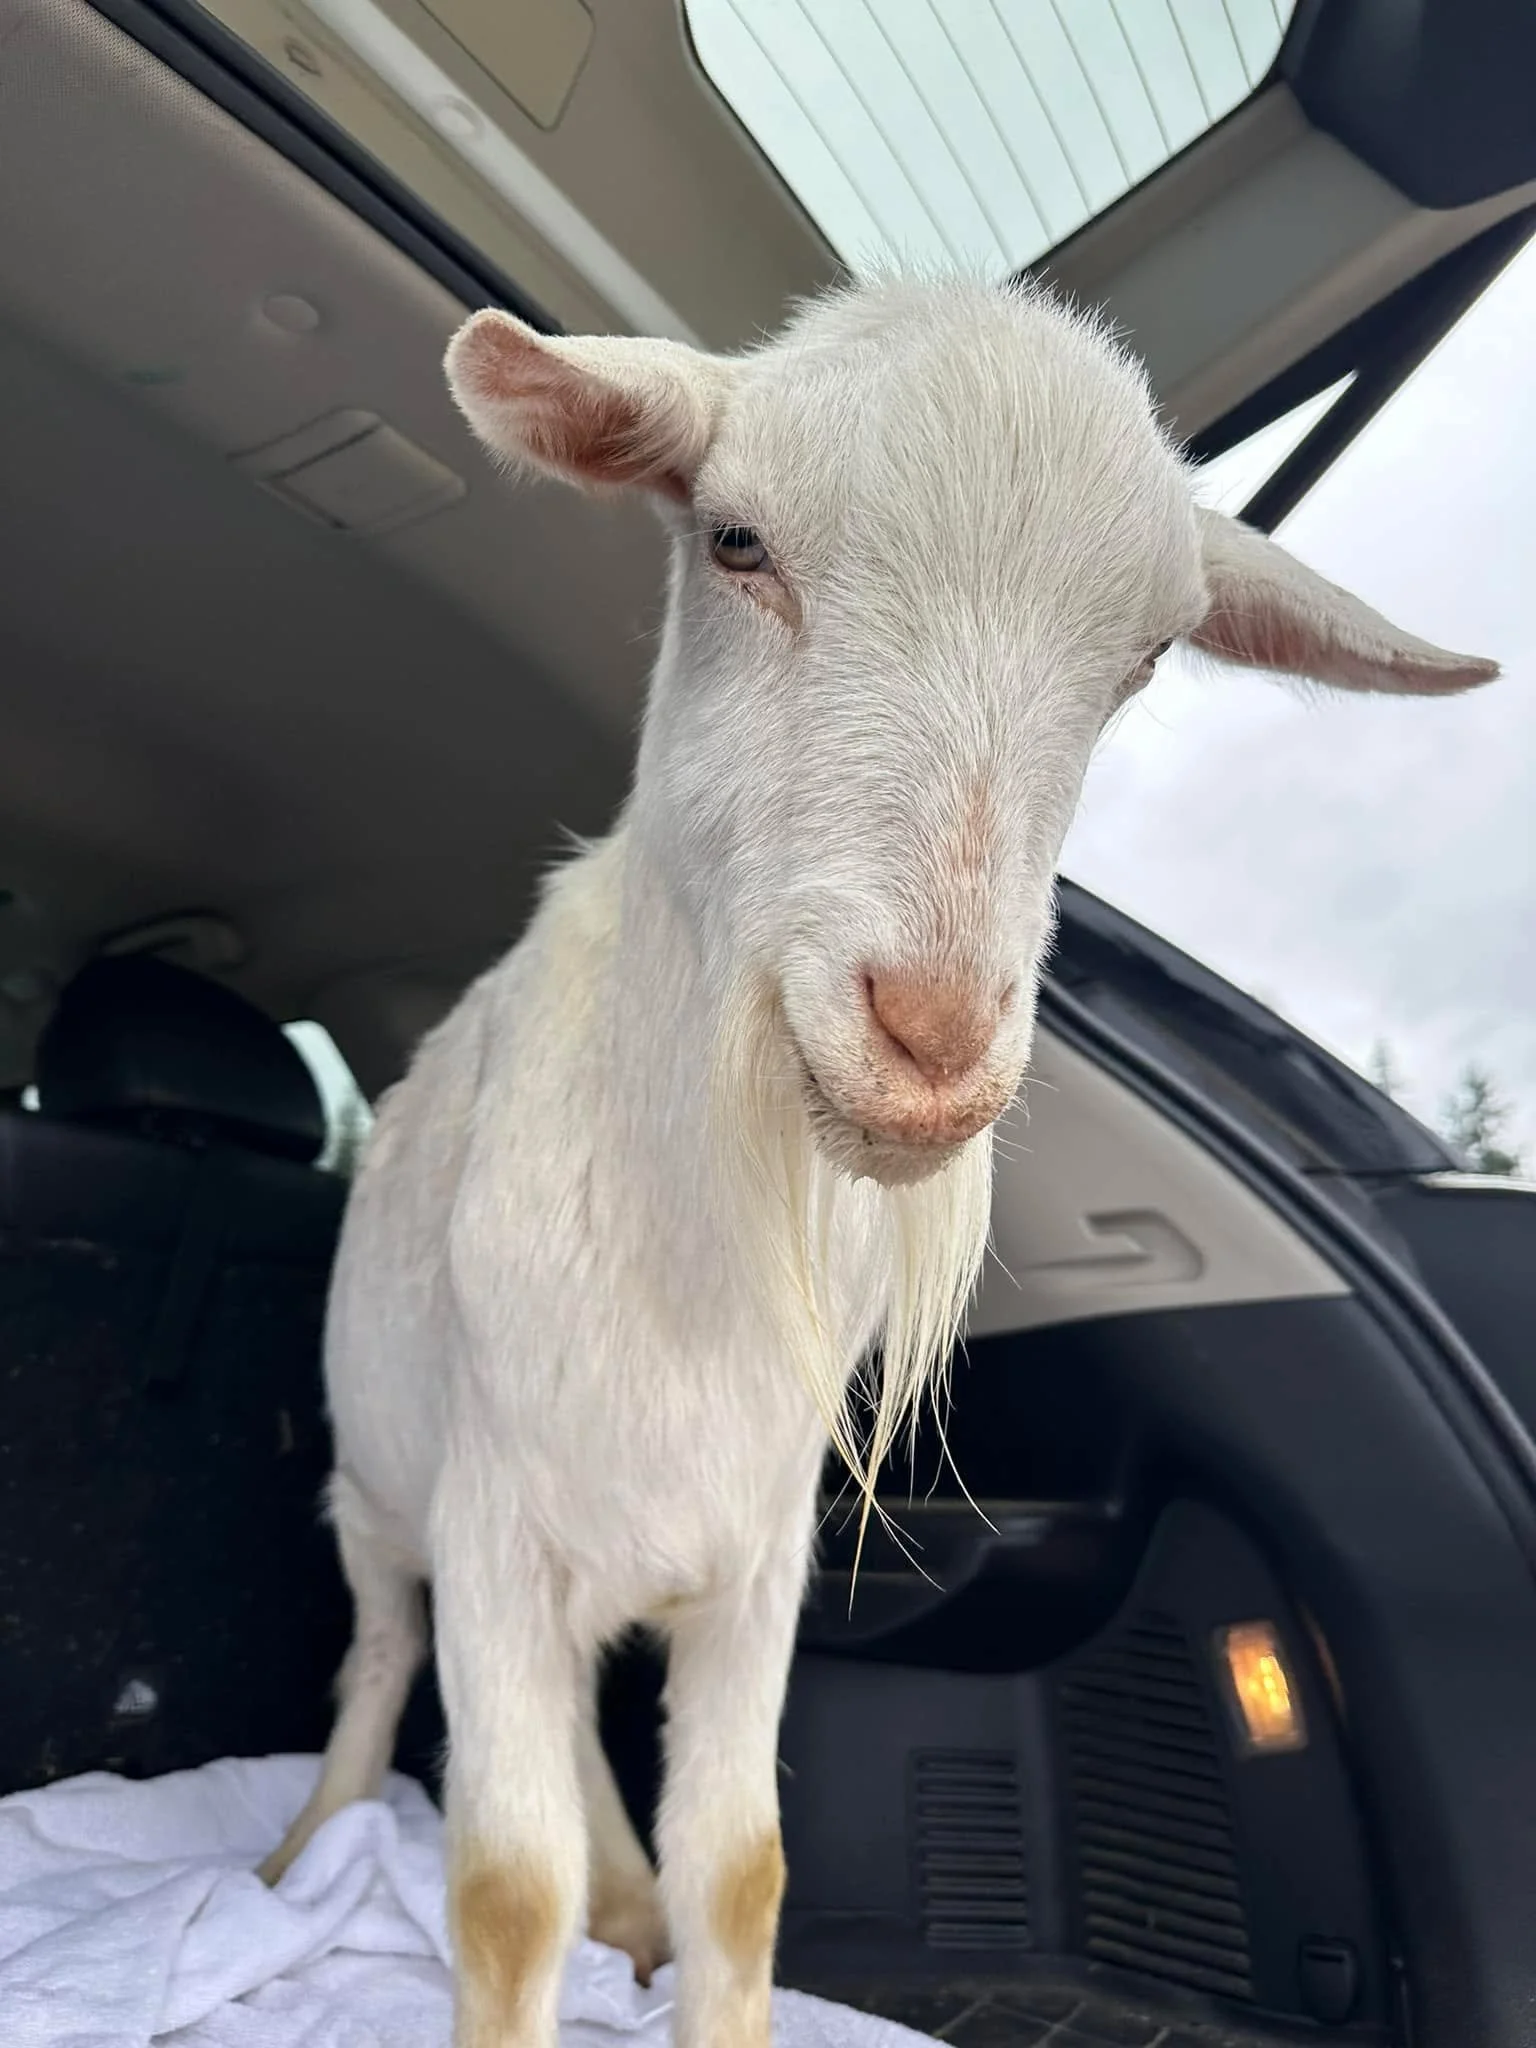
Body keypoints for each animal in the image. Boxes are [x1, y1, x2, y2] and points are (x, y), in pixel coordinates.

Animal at [259, 273, 1496, 2048]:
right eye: (735, 541)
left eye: (1147, 653)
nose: (932, 1038)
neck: (686, 1243)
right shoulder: (498, 1512)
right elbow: (503, 1891)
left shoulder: (759, 1541)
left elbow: (737, 1869)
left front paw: (671, 1924)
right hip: (376, 1489)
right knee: (376, 1661)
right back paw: (309, 1846)